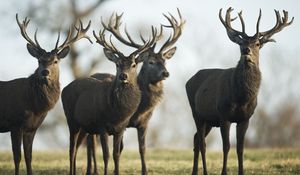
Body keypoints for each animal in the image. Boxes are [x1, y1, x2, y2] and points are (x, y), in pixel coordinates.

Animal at [0, 14, 91, 175]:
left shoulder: (32, 128)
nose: (45, 72)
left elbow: (29, 156)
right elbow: (17, 157)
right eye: (39, 60)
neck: (34, 106)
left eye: (55, 61)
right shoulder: (15, 123)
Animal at [61, 14, 159, 175]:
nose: (123, 76)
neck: (117, 113)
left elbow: (116, 154)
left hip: (86, 126)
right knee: (72, 149)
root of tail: (64, 89)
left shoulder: (120, 128)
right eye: (117, 64)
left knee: (81, 147)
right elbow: (106, 155)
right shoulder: (102, 126)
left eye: (134, 64)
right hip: (71, 120)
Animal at [74, 9, 185, 175]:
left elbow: (142, 149)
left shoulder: (144, 123)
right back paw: (91, 170)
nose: (166, 73)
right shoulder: (122, 124)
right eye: (151, 62)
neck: (142, 108)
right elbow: (119, 149)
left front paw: (145, 171)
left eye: (164, 61)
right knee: (90, 143)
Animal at [185, 7, 292, 175]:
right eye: (241, 42)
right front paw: (223, 172)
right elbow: (226, 147)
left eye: (257, 43)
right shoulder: (224, 115)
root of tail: (188, 81)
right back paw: (204, 172)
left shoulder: (245, 118)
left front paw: (241, 171)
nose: (246, 50)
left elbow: (241, 149)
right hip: (197, 113)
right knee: (202, 143)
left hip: (209, 120)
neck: (241, 98)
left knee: (196, 139)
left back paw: (195, 172)